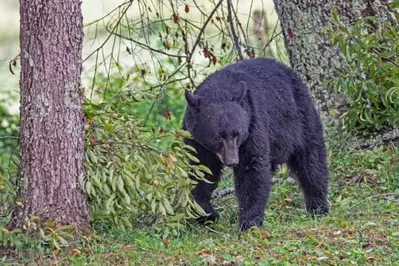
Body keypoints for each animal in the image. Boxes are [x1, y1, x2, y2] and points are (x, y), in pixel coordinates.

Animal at [183, 57, 330, 231]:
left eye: (236, 134)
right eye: (218, 137)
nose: (232, 161)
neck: (219, 90)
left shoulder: (253, 126)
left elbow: (251, 170)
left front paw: (249, 222)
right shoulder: (195, 140)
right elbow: (201, 171)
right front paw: (207, 214)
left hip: (300, 121)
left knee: (311, 161)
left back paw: (318, 206)